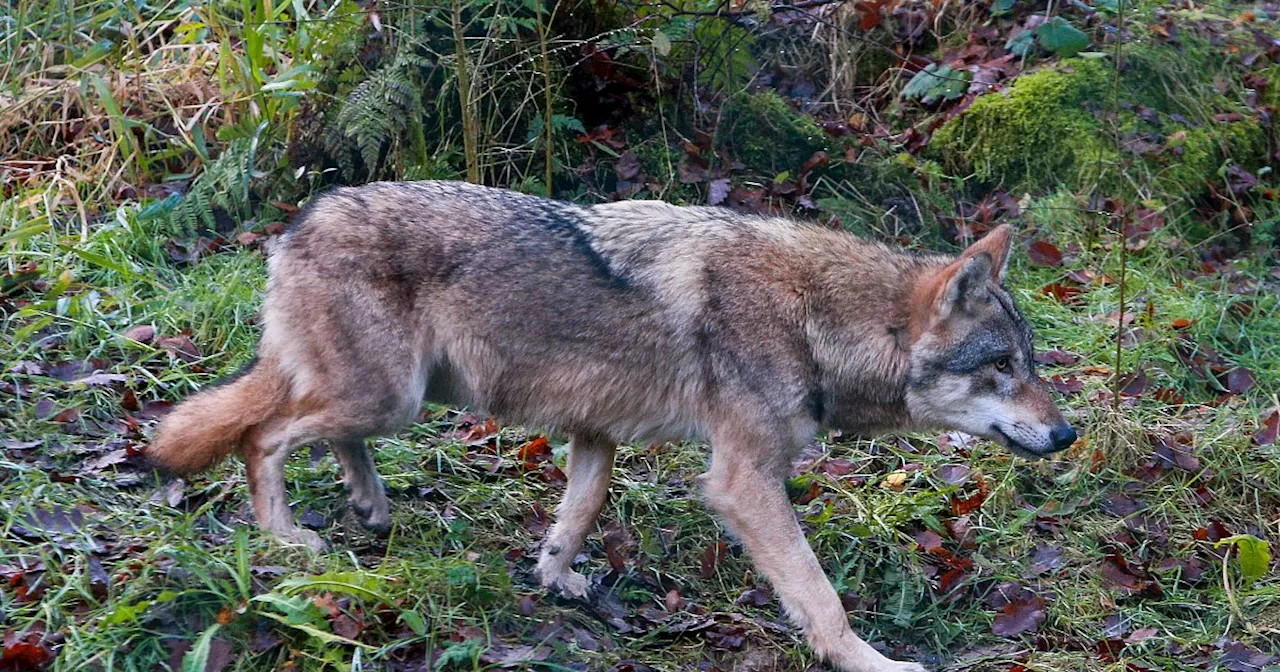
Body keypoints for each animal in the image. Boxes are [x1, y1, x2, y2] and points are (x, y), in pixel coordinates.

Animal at [145, 179, 1075, 670]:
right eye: (1004, 369)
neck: (815, 317)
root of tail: (299, 222)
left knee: (314, 435)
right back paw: (287, 537)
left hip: (395, 400)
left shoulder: (597, 435)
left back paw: (369, 508)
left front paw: (557, 580)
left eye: (1032, 364)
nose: (1066, 436)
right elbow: (821, 598)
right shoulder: (740, 482)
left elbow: (577, 513)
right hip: (389, 398)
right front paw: (872, 662)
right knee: (261, 437)